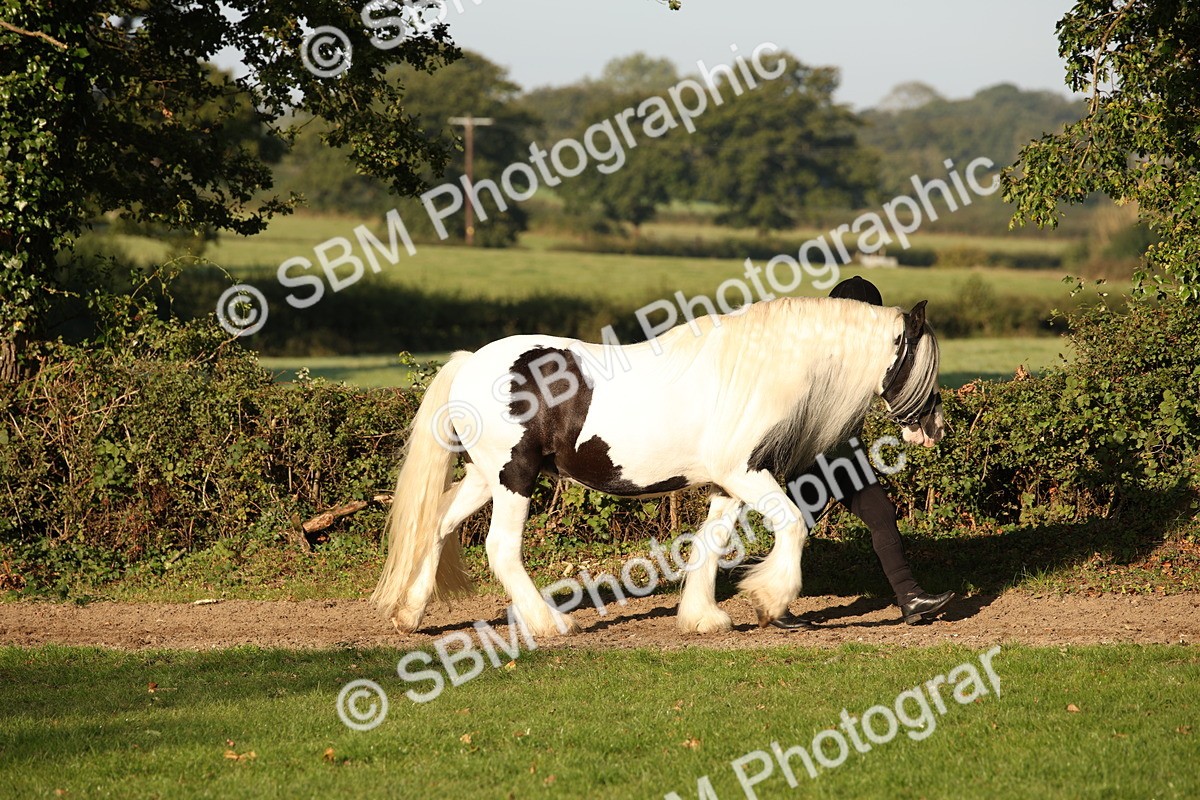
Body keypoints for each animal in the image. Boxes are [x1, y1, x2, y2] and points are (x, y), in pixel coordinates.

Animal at [371, 295, 944, 638]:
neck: (760, 369)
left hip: (486, 476)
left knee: (439, 524)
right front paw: (771, 600)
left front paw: (704, 617)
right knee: (500, 548)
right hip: (515, 477)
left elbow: (711, 543)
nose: (933, 426)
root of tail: (472, 362)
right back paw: (550, 625)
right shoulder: (747, 475)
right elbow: (792, 525)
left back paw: (409, 614)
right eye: (920, 359)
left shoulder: (726, 485)